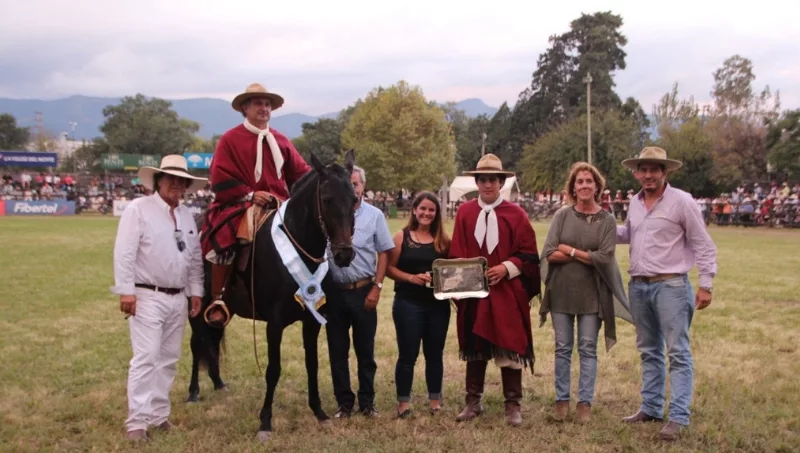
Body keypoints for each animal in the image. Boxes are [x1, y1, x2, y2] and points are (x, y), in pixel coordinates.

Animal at [216, 150, 357, 443]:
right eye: (326, 199)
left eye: (354, 199)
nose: (344, 254)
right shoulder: (275, 323)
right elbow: (273, 369)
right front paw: (265, 422)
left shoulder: (312, 320)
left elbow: (312, 364)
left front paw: (319, 413)